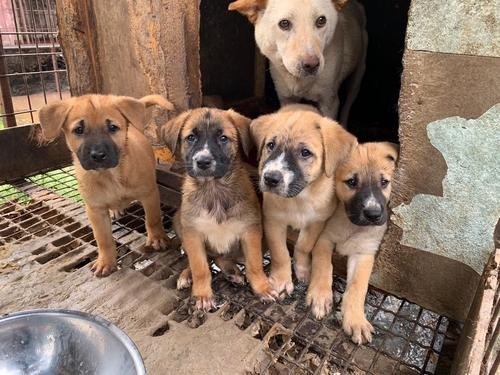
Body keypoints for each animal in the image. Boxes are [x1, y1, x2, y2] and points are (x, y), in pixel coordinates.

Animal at [37, 94, 174, 276]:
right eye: (78, 130)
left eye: (112, 128)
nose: (98, 155)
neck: (110, 176)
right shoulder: (95, 209)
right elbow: (103, 239)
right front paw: (105, 262)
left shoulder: (149, 194)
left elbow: (152, 219)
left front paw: (157, 238)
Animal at [162, 107, 278, 310]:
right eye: (191, 137)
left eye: (223, 138)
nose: (203, 161)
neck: (214, 190)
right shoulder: (193, 234)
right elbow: (200, 267)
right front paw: (202, 294)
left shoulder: (250, 232)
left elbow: (254, 264)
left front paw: (262, 288)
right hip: (178, 221)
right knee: (206, 258)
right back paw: (188, 275)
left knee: (219, 257)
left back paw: (232, 271)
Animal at [229, 0, 368, 127]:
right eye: (284, 23)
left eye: (321, 20)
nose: (312, 65)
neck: (299, 80)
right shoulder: (286, 98)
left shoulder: (330, 102)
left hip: (357, 78)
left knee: (347, 105)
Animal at [249, 103, 356, 296]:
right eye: (270, 145)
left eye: (305, 152)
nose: (270, 179)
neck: (298, 199)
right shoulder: (273, 221)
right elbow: (280, 252)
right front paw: (281, 279)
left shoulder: (317, 222)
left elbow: (303, 246)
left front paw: (302, 270)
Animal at [304, 142, 398, 346]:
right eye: (352, 182)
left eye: (384, 182)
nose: (373, 215)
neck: (352, 226)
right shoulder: (324, 238)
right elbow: (323, 264)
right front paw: (320, 296)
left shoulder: (365, 253)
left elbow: (358, 286)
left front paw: (356, 320)